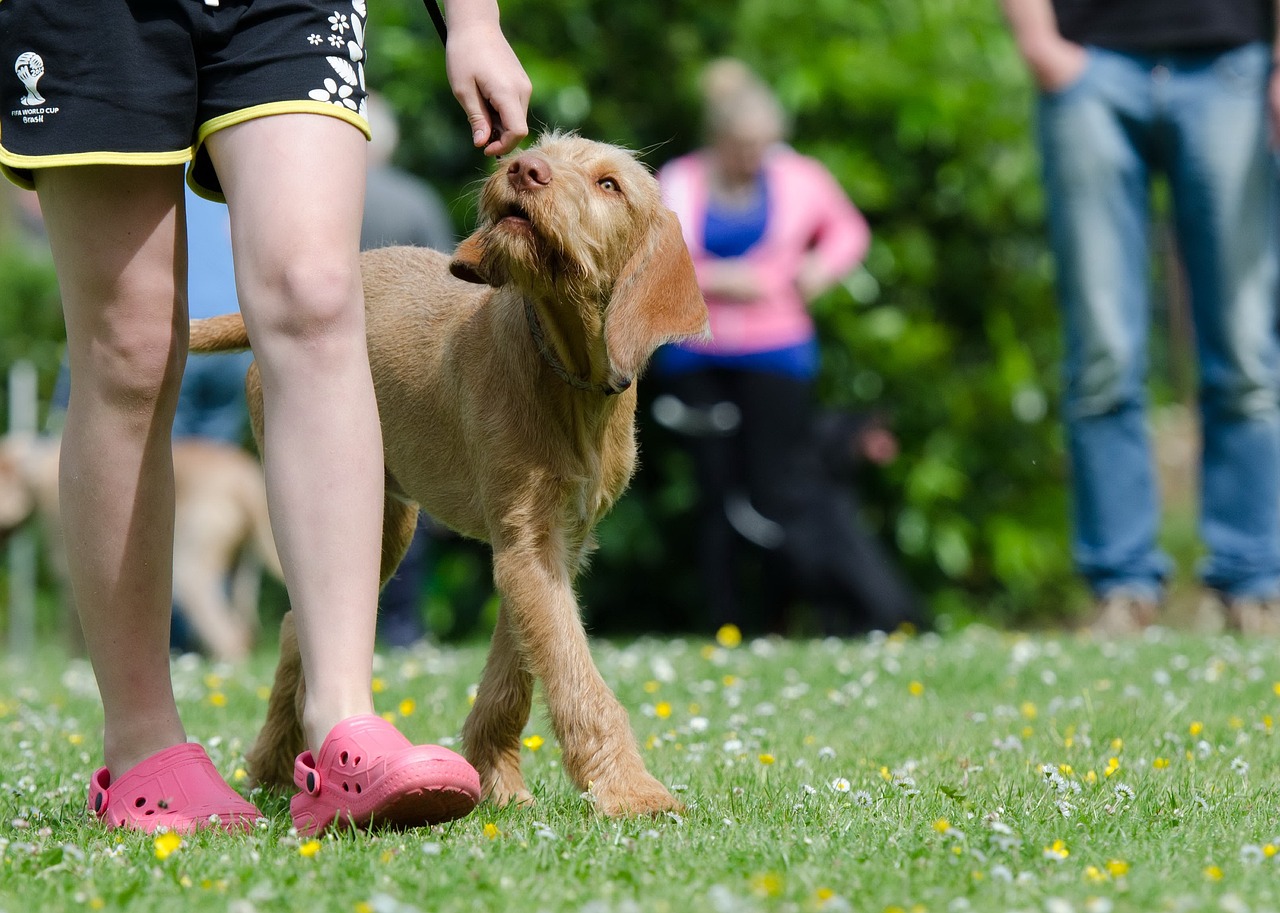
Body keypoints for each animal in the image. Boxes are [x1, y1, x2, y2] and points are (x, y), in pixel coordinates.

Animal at [189, 131, 711, 814]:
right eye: (544, 149)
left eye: (608, 185)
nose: (523, 167)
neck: (566, 372)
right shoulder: (526, 544)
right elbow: (574, 672)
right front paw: (631, 790)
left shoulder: (551, 546)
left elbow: (516, 673)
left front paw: (497, 781)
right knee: (295, 626)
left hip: (383, 525)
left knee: (294, 628)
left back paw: (275, 765)